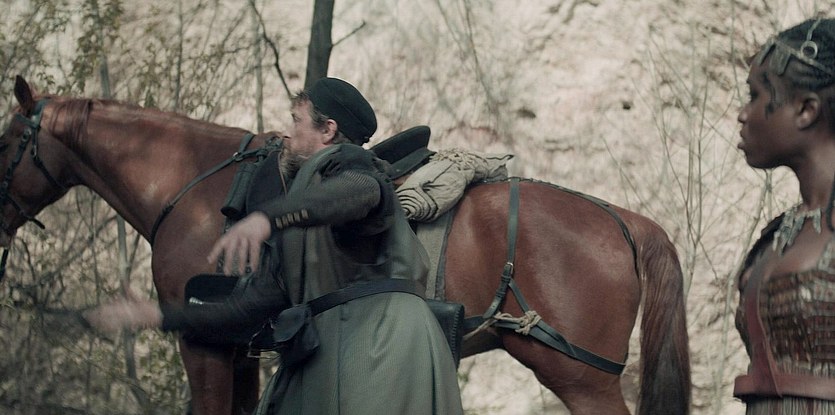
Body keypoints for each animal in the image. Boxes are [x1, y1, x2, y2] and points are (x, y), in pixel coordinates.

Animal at [0, 76, 690, 415]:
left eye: (7, 141)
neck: (195, 189)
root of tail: (624, 221)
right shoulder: (241, 348)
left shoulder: (205, 345)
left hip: (580, 375)